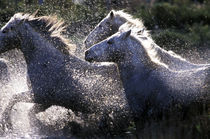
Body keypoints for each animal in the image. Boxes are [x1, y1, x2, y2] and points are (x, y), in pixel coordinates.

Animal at [0, 12, 131, 135]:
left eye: (5, 30)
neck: (47, 61)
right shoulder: (46, 102)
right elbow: (29, 113)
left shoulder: (39, 95)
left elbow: (14, 98)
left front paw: (7, 123)